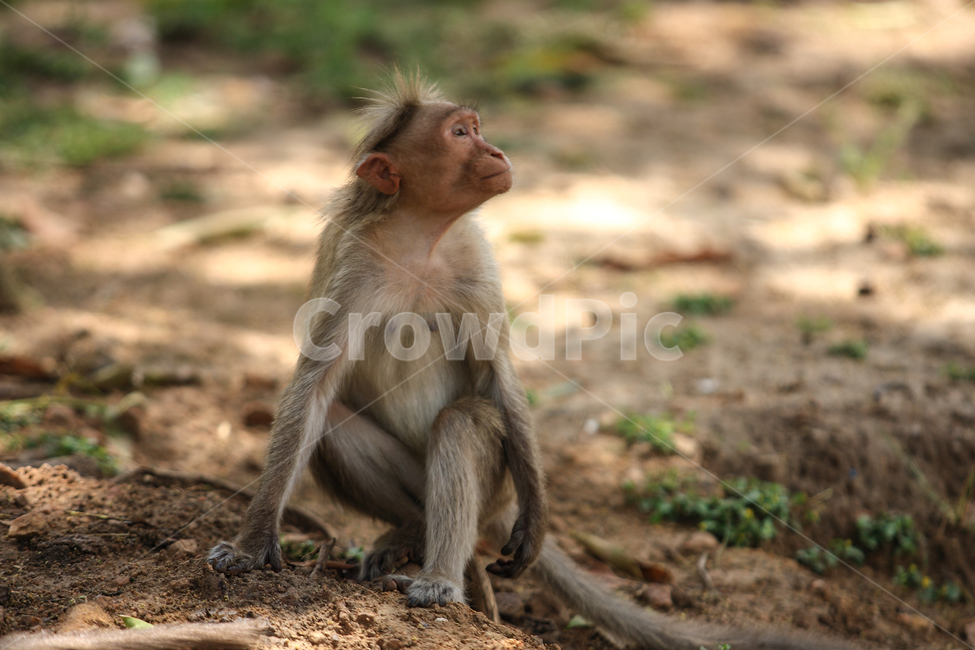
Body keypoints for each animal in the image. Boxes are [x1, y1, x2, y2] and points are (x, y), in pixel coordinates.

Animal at [207, 73, 859, 650]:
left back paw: (440, 573)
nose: (496, 149)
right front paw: (252, 542)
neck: (422, 237)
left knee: (463, 424)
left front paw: (538, 520)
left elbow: (497, 376)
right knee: (339, 423)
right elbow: (316, 389)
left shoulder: (474, 261)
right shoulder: (356, 264)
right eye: (460, 134)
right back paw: (421, 537)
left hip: (496, 490)